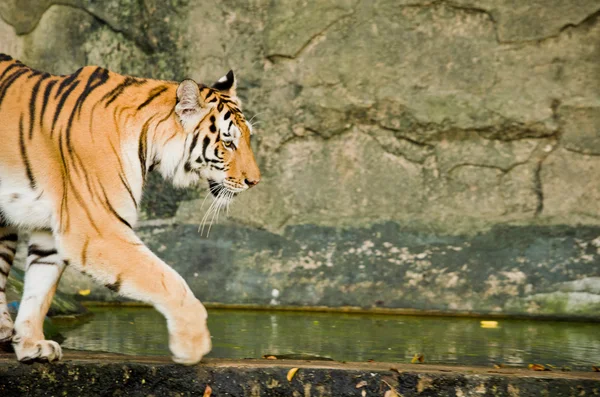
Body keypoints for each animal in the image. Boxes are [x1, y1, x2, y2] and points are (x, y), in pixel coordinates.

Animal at [0, 54, 260, 364]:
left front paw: (31, 345)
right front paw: (193, 344)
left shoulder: (50, 230)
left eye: (248, 138)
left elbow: (39, 289)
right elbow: (167, 279)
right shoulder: (97, 230)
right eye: (228, 142)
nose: (255, 181)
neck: (148, 142)